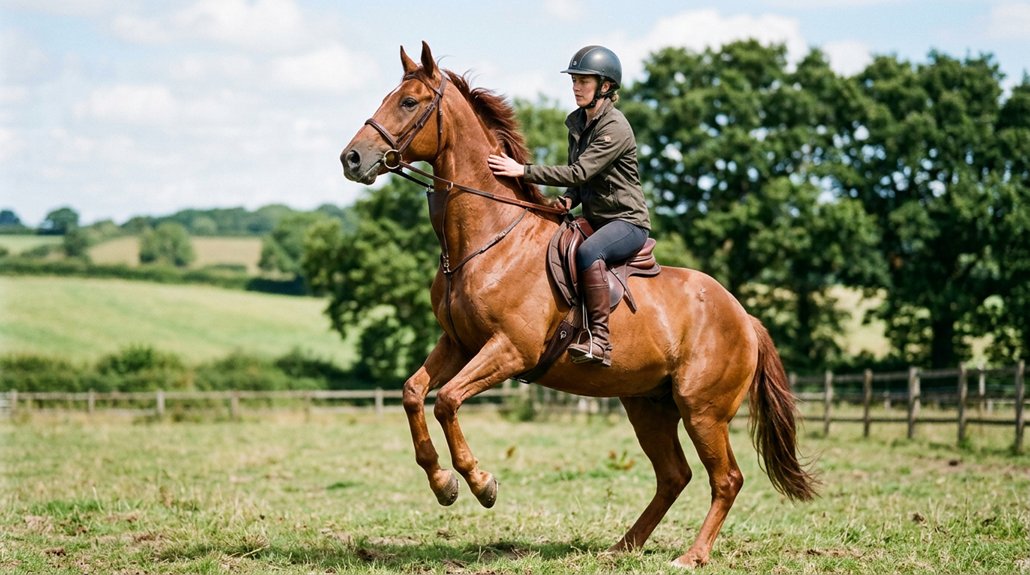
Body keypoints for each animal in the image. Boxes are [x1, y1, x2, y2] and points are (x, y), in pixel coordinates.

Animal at [339, 41, 816, 568]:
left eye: (409, 102)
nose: (351, 158)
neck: (490, 238)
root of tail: (745, 317)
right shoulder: (459, 344)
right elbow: (412, 393)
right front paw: (443, 483)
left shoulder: (510, 350)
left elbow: (445, 401)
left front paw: (481, 484)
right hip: (648, 407)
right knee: (674, 476)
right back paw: (622, 547)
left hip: (703, 411)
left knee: (725, 479)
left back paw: (690, 556)